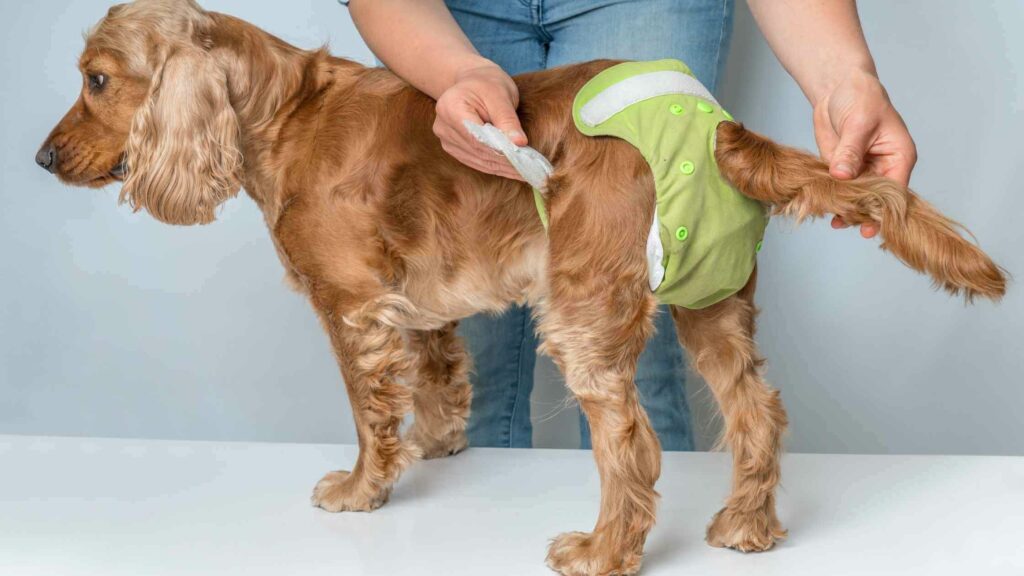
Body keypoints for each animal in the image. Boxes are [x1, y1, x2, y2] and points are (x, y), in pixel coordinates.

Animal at [37, 2, 1007, 569]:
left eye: (97, 80)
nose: (42, 158)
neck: (283, 112)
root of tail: (720, 129)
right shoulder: (416, 303)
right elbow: (437, 380)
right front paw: (436, 449)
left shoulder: (352, 305)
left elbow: (365, 408)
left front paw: (362, 488)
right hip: (711, 305)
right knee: (757, 413)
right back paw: (746, 527)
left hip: (586, 308)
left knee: (633, 444)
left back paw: (603, 550)